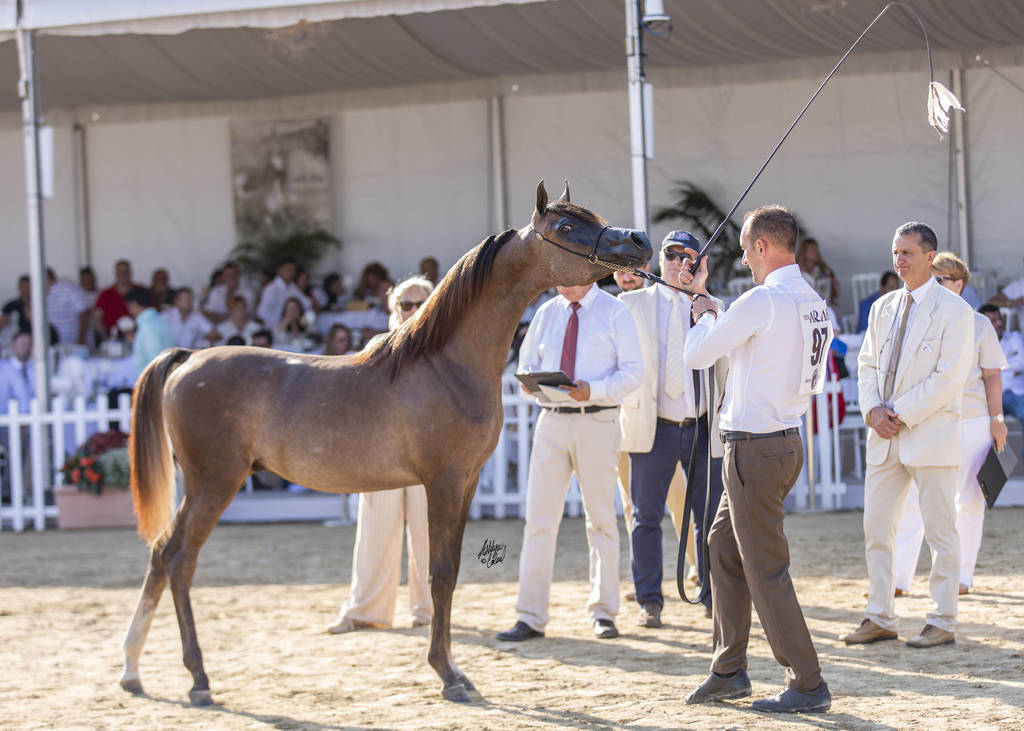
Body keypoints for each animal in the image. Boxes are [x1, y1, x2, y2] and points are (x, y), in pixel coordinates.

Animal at [119, 180, 652, 706]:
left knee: (160, 554)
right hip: (214, 483)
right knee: (178, 559)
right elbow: (440, 573)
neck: (445, 364)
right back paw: (197, 679)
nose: (640, 240)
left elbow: (450, 571)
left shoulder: (466, 483)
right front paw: (447, 676)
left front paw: (456, 671)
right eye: (565, 228)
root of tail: (189, 358)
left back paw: (132, 671)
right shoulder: (443, 482)